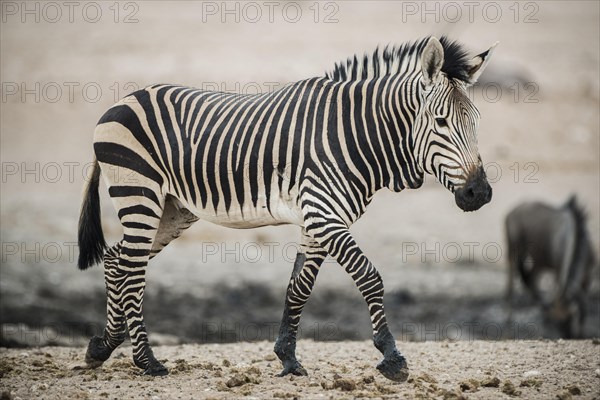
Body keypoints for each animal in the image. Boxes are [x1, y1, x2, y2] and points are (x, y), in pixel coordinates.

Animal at [76, 36, 496, 382]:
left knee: (117, 260)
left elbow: (299, 288)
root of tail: (123, 100)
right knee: (132, 269)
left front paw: (288, 358)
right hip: (139, 192)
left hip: (172, 207)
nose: (479, 193)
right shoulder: (324, 215)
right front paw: (391, 356)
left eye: (476, 122)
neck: (356, 135)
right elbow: (369, 276)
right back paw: (147, 361)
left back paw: (103, 346)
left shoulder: (317, 219)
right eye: (440, 122)